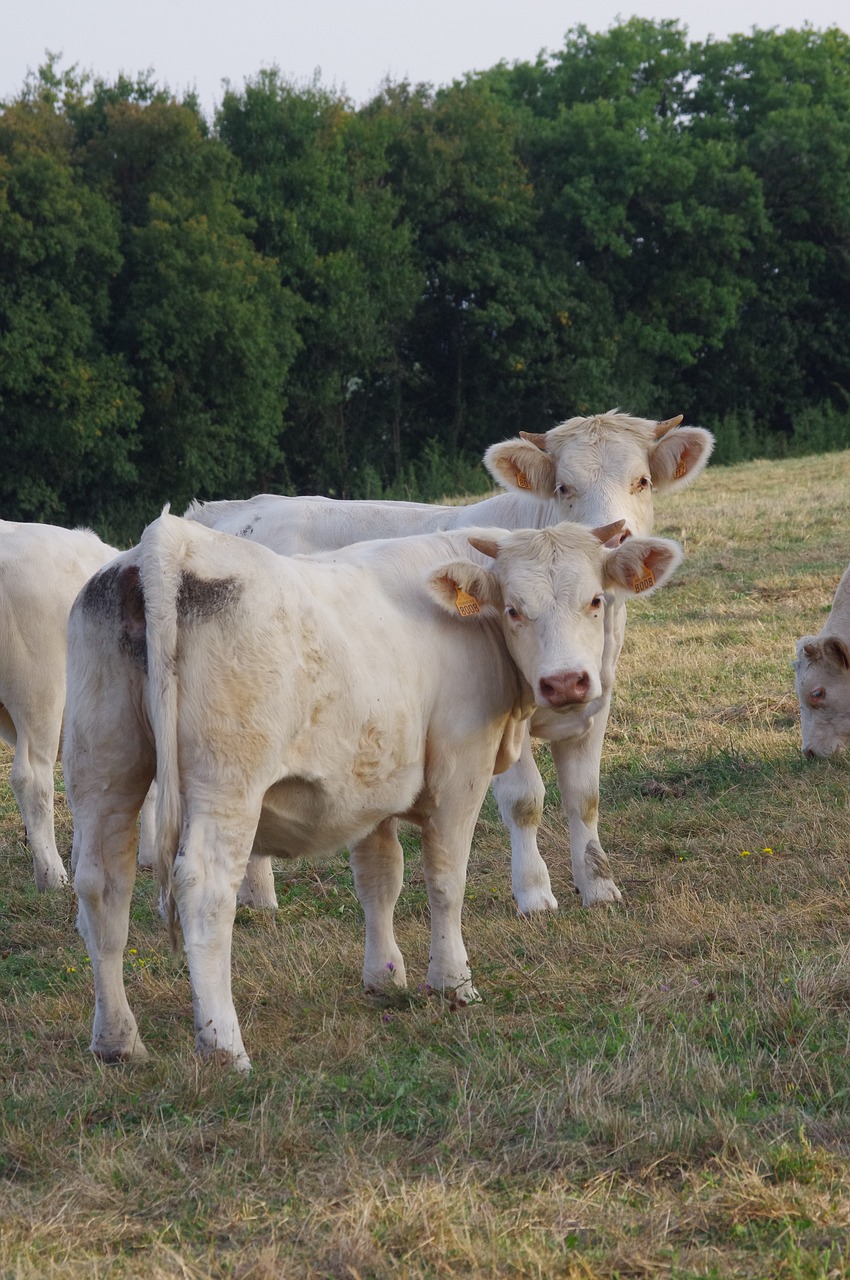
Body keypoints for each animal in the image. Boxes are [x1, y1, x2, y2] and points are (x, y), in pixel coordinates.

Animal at [64, 509, 686, 1070]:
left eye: (595, 600)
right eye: (514, 609)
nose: (566, 683)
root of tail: (171, 543)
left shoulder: (370, 784)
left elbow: (380, 879)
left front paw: (385, 978)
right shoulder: (460, 769)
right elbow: (445, 879)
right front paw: (453, 981)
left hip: (103, 770)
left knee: (102, 888)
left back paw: (117, 1041)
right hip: (226, 784)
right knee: (204, 891)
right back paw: (223, 1046)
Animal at [185, 409, 711, 911]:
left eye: (641, 481)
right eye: (564, 486)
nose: (614, 540)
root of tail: (221, 513)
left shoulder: (594, 702)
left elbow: (585, 799)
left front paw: (599, 887)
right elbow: (525, 800)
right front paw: (534, 894)